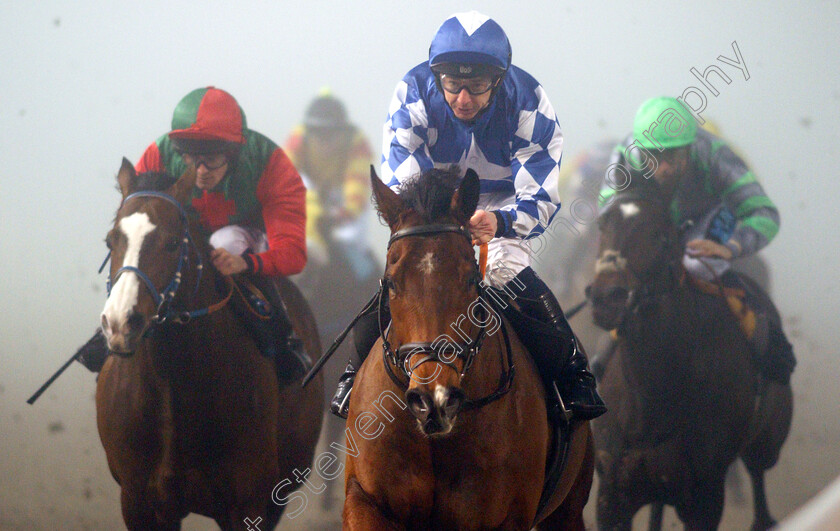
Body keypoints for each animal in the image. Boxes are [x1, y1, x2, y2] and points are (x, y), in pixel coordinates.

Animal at [340, 169, 592, 531]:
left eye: (469, 278)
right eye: (392, 280)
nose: (434, 398)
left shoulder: (507, 515)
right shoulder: (364, 500)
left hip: (568, 508)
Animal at [588, 181, 792, 528]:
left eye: (660, 234)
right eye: (603, 224)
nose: (608, 298)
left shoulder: (704, 498)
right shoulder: (612, 495)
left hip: (767, 443)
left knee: (758, 482)